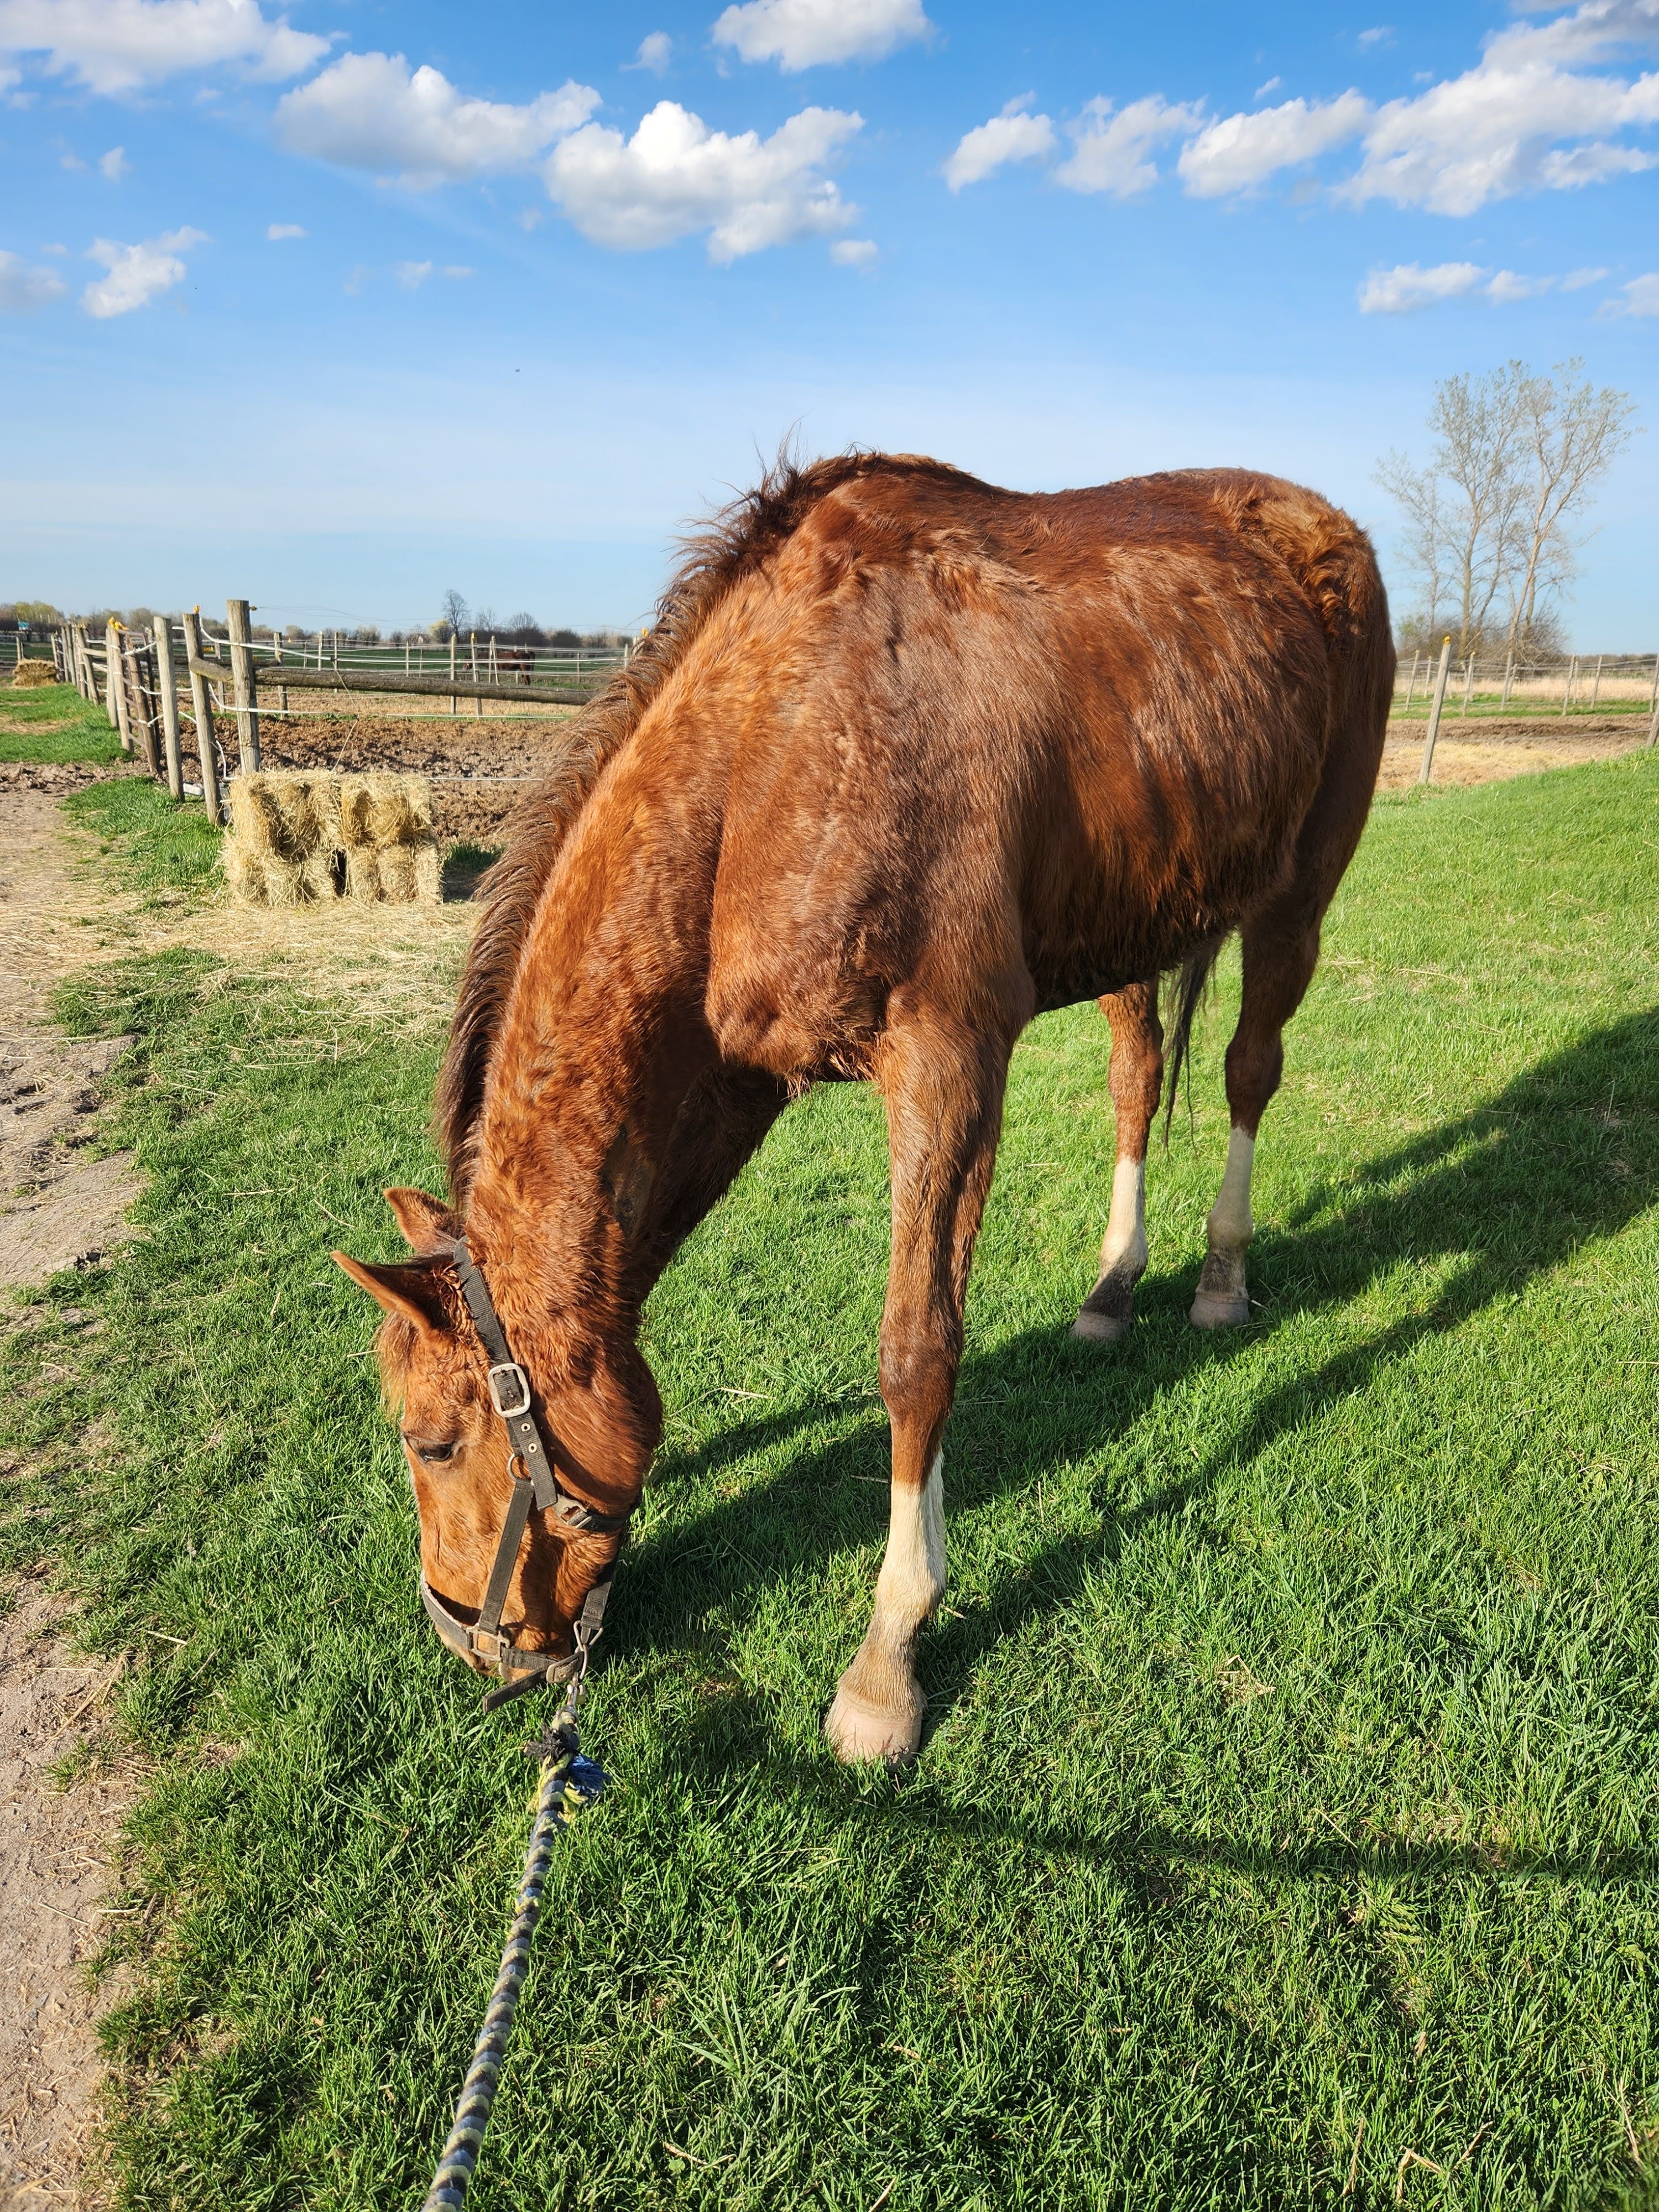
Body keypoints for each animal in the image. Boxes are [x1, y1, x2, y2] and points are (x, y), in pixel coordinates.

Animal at [335, 451, 1393, 1762]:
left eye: (431, 1441)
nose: (466, 1641)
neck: (771, 753)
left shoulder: (946, 1058)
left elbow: (916, 1349)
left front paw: (888, 1658)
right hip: (1138, 918)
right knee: (1138, 1076)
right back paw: (1112, 1288)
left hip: (1300, 891)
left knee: (1251, 1069)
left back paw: (1221, 1277)